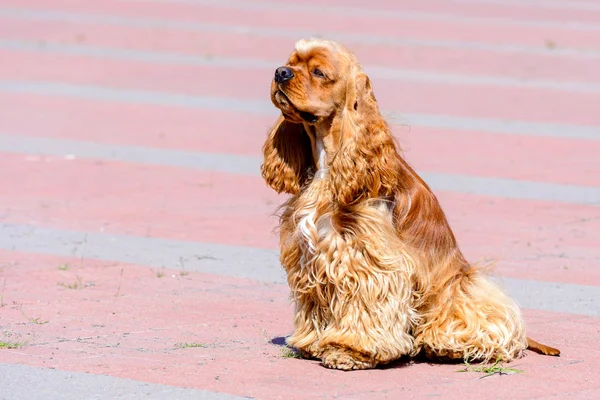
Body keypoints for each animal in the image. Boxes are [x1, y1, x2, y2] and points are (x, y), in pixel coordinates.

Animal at [260, 39, 560, 370]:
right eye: (290, 61)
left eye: (318, 72)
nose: (280, 72)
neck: (329, 162)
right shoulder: (310, 254)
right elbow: (315, 303)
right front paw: (313, 343)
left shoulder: (369, 260)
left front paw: (348, 350)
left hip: (459, 291)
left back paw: (446, 347)